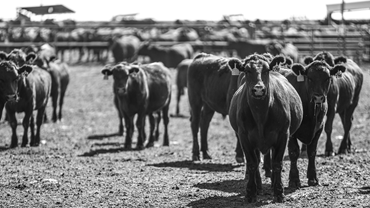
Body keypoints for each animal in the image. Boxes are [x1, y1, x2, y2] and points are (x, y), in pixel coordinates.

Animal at [228, 54, 304, 203]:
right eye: (247, 70)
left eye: (266, 70)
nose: (258, 89)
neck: (260, 115)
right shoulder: (244, 136)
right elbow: (252, 163)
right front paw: (251, 193)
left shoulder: (283, 135)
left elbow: (277, 163)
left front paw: (279, 192)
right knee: (257, 161)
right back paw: (258, 187)